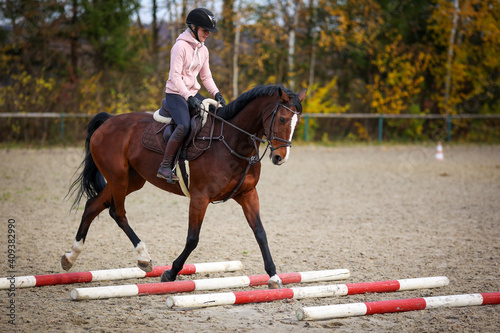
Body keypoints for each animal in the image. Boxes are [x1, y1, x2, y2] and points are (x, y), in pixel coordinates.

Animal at [64, 83, 306, 288]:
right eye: (282, 119)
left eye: (297, 122)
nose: (280, 157)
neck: (232, 141)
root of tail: (108, 120)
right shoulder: (200, 197)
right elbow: (192, 239)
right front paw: (170, 273)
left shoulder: (248, 193)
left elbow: (260, 233)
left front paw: (273, 276)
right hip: (118, 178)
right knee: (118, 212)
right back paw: (143, 257)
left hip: (131, 180)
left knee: (93, 205)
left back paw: (70, 256)